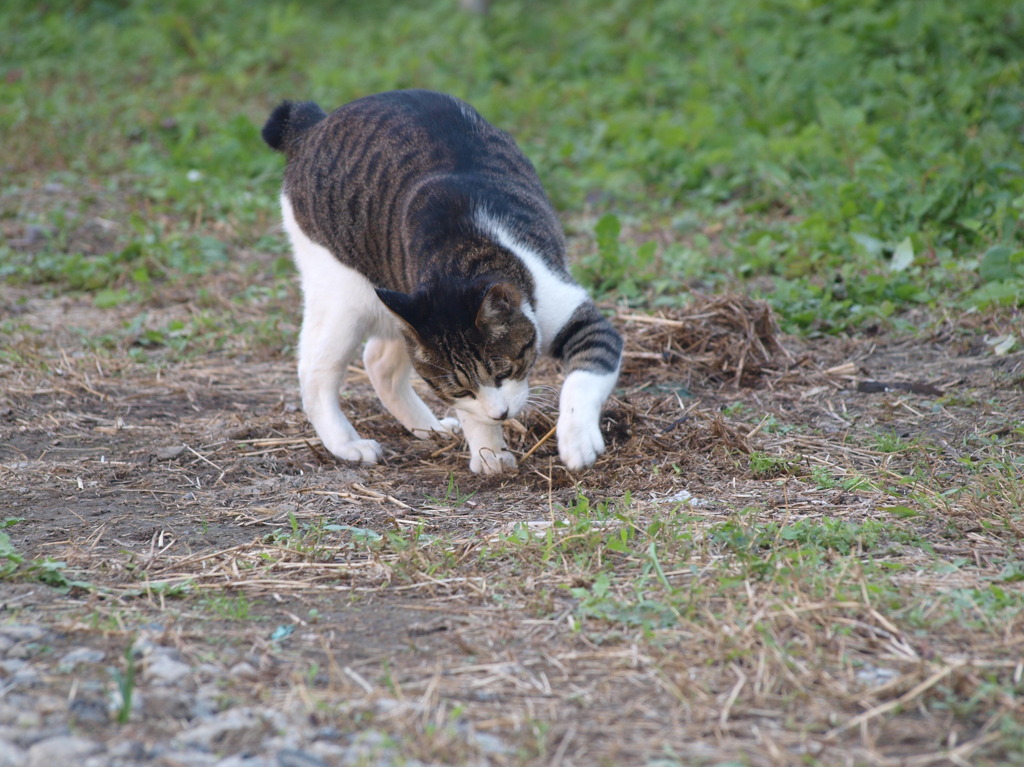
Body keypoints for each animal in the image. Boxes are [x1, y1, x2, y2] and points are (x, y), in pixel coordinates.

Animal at [260, 89, 618, 473]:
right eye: (460, 390)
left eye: (504, 372)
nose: (500, 414)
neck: (462, 255)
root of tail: (311, 124)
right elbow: (471, 411)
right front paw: (489, 453)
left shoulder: (575, 314)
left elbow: (582, 378)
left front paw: (576, 439)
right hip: (341, 293)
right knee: (315, 371)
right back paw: (347, 444)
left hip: (396, 298)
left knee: (378, 361)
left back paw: (428, 428)